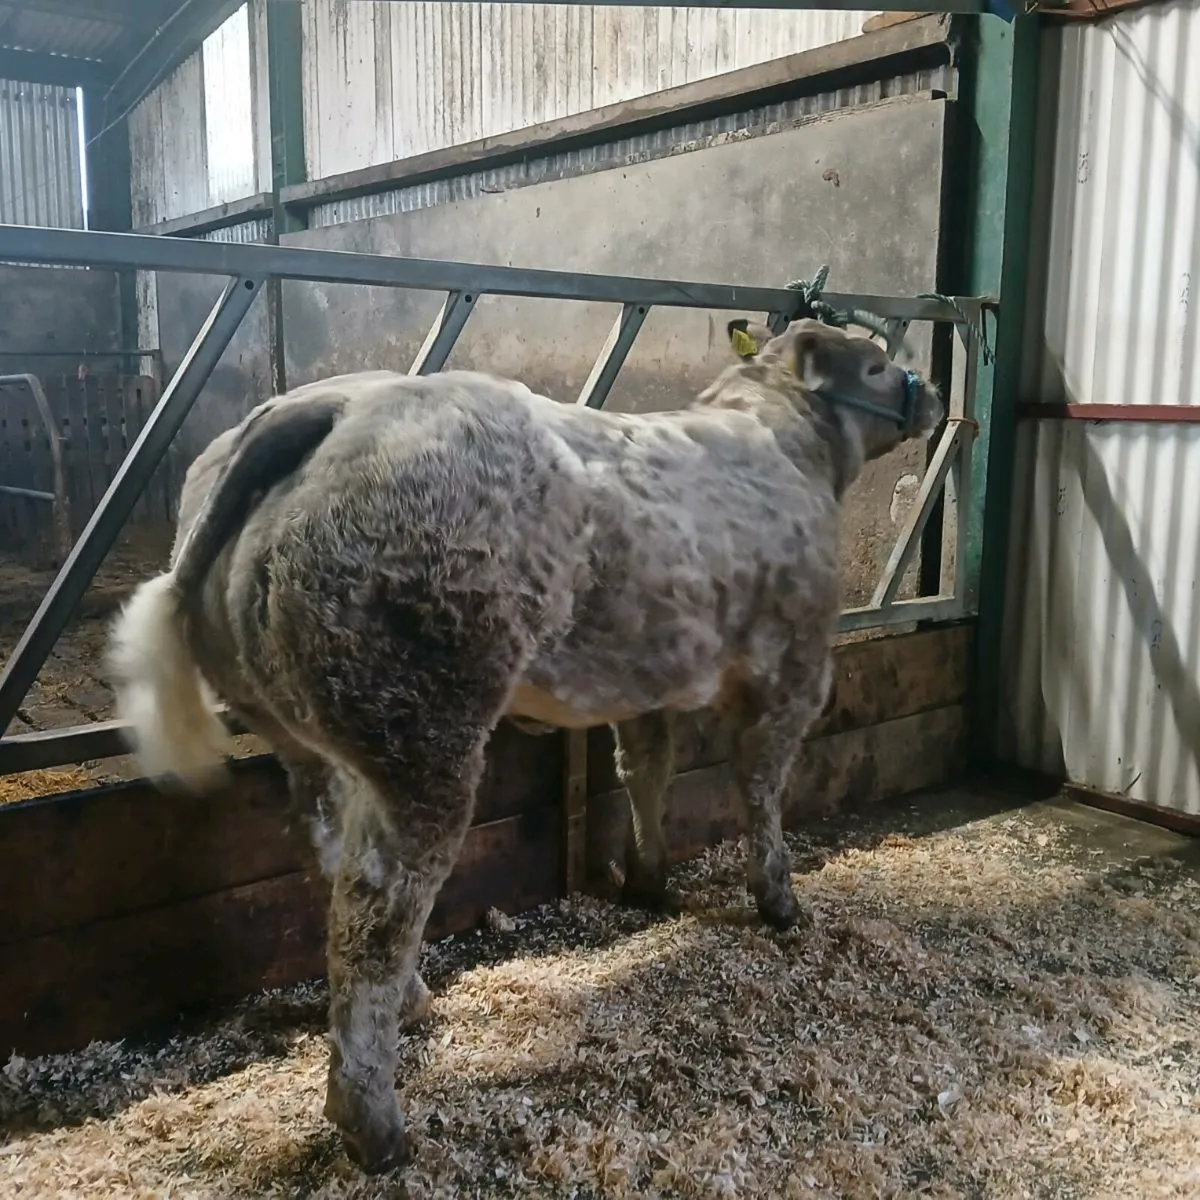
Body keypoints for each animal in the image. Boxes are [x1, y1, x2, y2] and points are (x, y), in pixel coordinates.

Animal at [107, 316, 942, 1172]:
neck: (781, 432)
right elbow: (760, 785)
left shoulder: (647, 676)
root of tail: (329, 407)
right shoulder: (795, 664)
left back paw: (412, 1002)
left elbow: (647, 769)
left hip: (303, 736)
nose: (935, 392)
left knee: (329, 860)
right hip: (422, 726)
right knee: (379, 907)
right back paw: (375, 1123)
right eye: (877, 366)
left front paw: (650, 881)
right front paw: (778, 900)